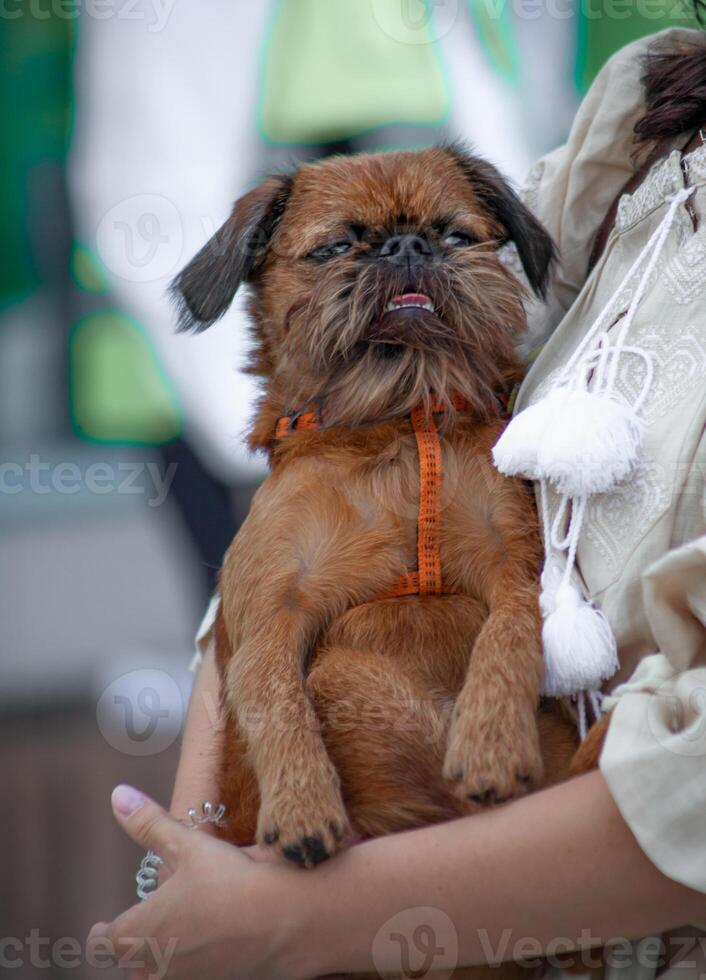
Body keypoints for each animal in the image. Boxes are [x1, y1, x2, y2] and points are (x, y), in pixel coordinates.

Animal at [170, 147, 576, 928]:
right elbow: (272, 695)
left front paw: (490, 738)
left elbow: (511, 631)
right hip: (342, 676)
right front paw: (302, 805)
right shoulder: (268, 618)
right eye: (335, 248)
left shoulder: (515, 564)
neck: (395, 417)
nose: (406, 246)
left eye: (454, 235)